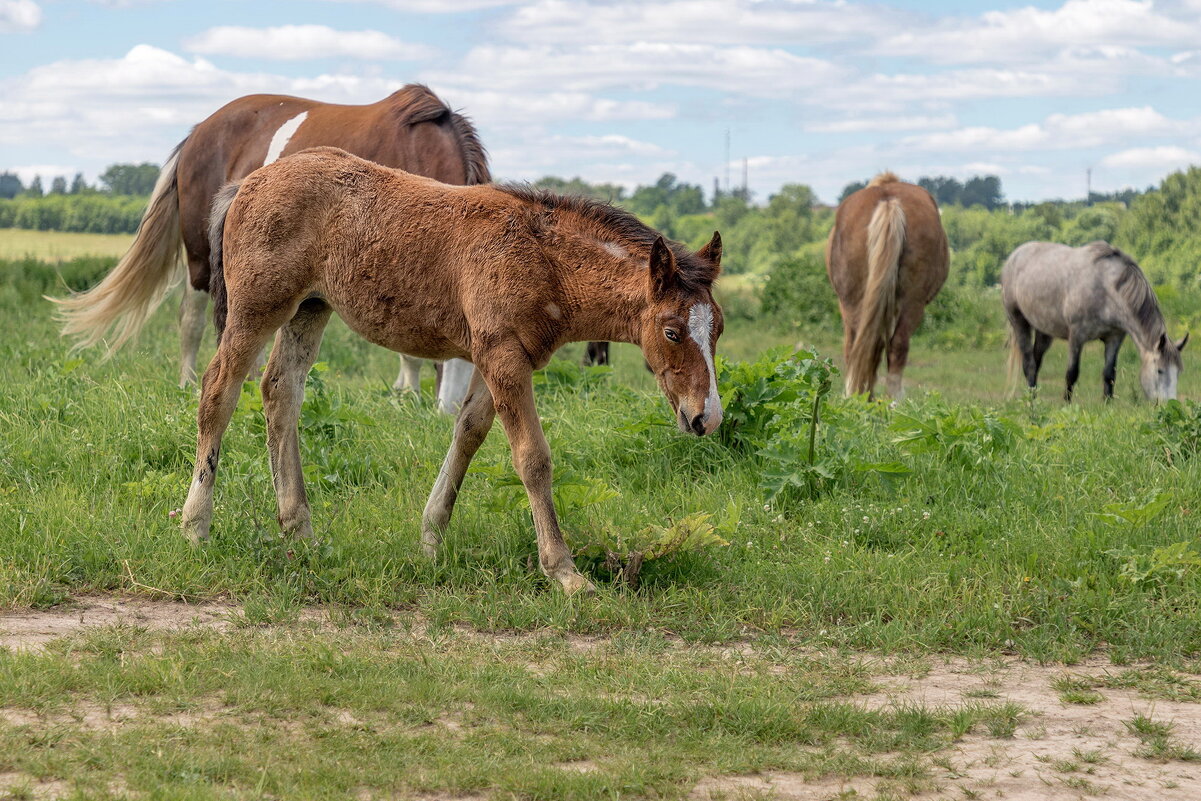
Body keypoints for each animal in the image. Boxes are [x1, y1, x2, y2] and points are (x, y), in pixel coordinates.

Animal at [50, 84, 482, 410]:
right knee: (192, 320)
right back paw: (188, 383)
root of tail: (200, 130)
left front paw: (404, 392)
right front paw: (407, 394)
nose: (449, 413)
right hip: (201, 256)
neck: (416, 145)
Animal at [177, 148, 720, 595]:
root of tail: (246, 183)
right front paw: (565, 572)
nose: (706, 418)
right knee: (218, 390)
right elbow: (532, 458)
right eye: (673, 332)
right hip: (257, 307)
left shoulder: (498, 356)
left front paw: (431, 539)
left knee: (280, 392)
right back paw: (196, 527)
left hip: (310, 309)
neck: (543, 259)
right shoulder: (502, 354)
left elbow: (468, 432)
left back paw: (300, 530)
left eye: (717, 328)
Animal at [999, 237, 1186, 401]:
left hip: (1044, 330)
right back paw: (1032, 401)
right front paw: (1066, 404)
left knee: (1036, 363)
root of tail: (1015, 256)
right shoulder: (1076, 336)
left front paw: (1107, 405)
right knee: (1029, 365)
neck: (1105, 288)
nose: (1170, 404)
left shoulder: (1114, 338)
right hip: (1019, 321)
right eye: (1159, 370)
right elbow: (1072, 373)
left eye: (1178, 372)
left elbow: (1109, 374)